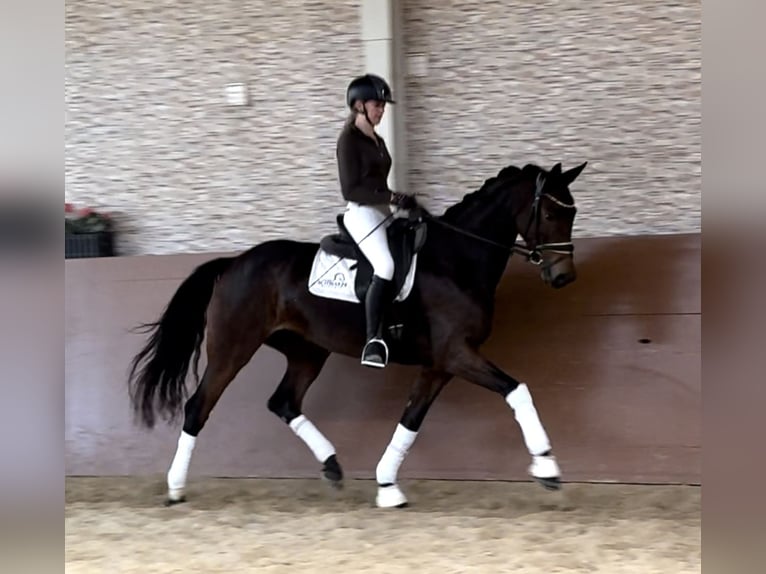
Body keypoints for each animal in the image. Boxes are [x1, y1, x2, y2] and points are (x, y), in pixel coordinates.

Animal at [130, 161, 588, 508]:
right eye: (551, 215)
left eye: (573, 213)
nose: (564, 277)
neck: (456, 259)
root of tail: (233, 263)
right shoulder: (457, 354)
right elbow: (518, 391)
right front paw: (547, 467)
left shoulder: (440, 364)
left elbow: (411, 420)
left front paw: (387, 485)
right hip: (233, 348)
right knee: (198, 407)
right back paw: (175, 488)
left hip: (307, 351)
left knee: (284, 402)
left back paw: (332, 465)